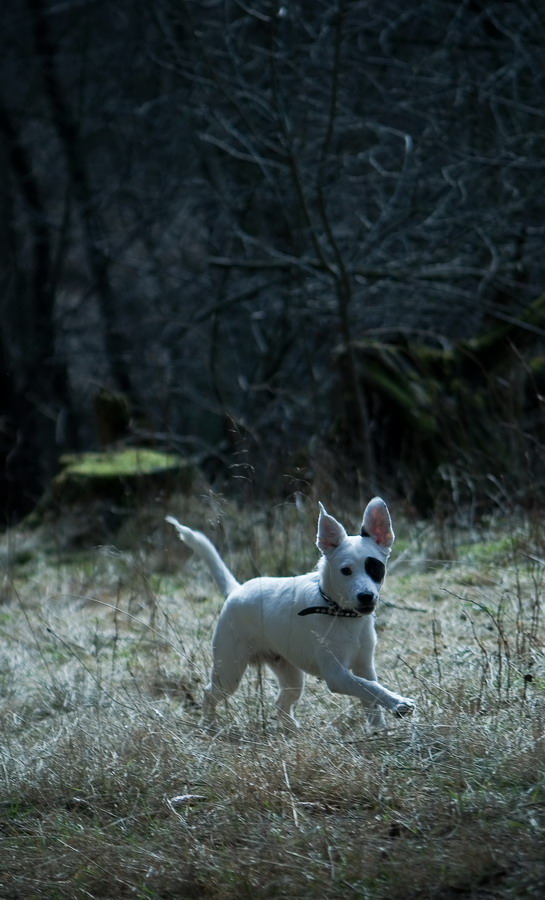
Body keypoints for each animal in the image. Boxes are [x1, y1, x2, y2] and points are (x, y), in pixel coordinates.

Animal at [166, 498, 415, 731]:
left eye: (374, 567)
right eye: (346, 571)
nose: (366, 596)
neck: (340, 613)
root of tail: (236, 590)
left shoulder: (364, 665)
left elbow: (371, 694)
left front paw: (379, 729)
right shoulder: (336, 675)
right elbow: (369, 688)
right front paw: (398, 703)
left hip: (289, 673)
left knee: (281, 702)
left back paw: (292, 729)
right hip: (228, 671)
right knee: (209, 694)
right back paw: (208, 724)